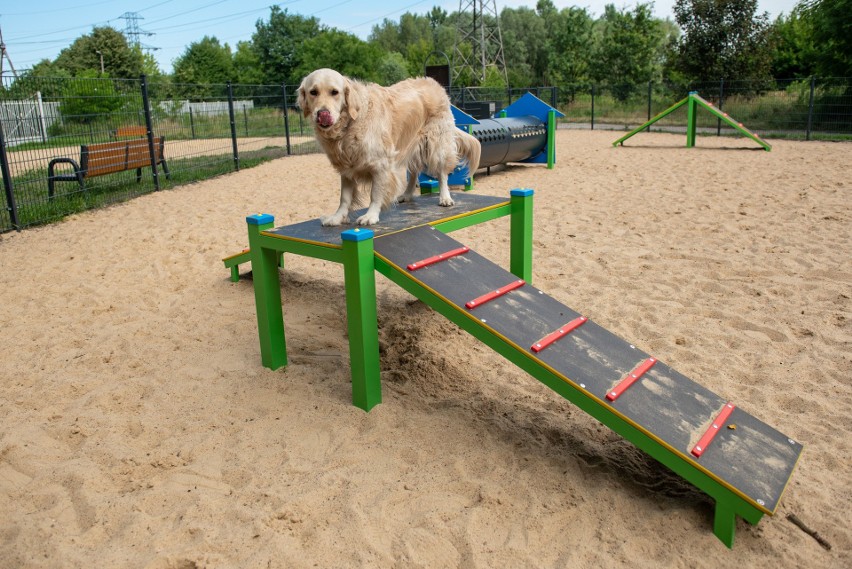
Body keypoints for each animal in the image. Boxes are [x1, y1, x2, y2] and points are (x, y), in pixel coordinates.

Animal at [296, 67, 480, 224]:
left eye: (335, 92)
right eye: (313, 92)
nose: (322, 113)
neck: (350, 123)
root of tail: (435, 83)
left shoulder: (381, 164)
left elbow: (376, 193)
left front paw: (370, 215)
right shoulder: (346, 167)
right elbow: (345, 197)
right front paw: (337, 217)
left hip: (437, 145)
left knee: (442, 174)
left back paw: (445, 198)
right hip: (411, 147)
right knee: (414, 172)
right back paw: (406, 195)